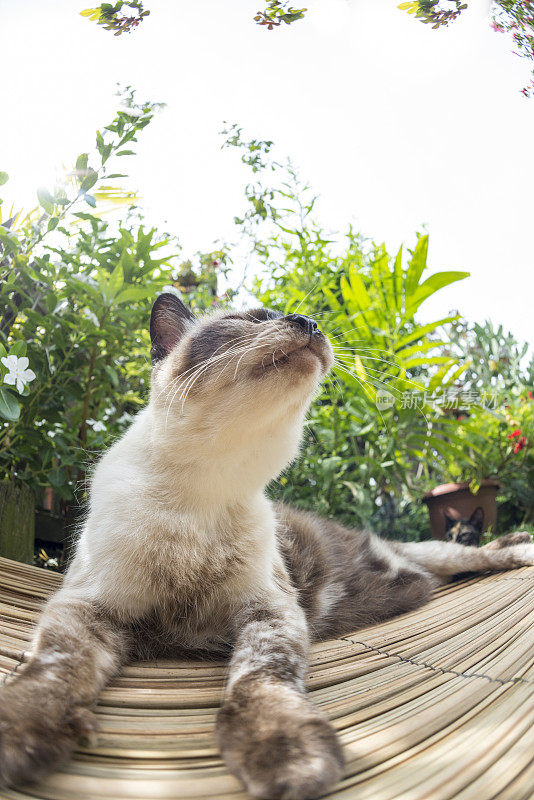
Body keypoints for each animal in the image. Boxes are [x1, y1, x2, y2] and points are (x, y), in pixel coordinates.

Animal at [1, 296, 534, 800]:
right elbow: (53, 668)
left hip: (437, 552)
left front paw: (286, 754)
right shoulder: (89, 607)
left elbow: (261, 678)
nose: (310, 322)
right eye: (250, 319)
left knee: (474, 556)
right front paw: (23, 731)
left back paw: (518, 548)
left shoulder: (269, 611)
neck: (205, 491)